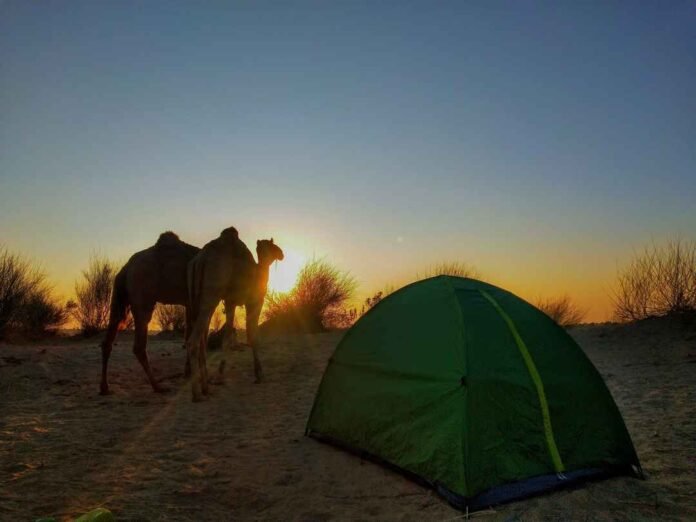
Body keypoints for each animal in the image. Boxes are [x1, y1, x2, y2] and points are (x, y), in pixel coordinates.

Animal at [99, 230, 200, 392]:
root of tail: (126, 268)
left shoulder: (189, 302)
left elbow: (189, 334)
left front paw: (188, 373)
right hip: (143, 297)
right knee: (139, 346)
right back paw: (158, 386)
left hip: (118, 298)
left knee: (108, 338)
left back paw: (104, 388)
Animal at [185, 232, 286, 398]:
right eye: (273, 245)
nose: (282, 253)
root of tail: (200, 260)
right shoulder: (254, 301)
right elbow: (253, 336)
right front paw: (259, 375)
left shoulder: (230, 302)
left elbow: (228, 337)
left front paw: (219, 376)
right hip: (211, 295)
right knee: (194, 340)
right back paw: (196, 394)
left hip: (195, 298)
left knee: (201, 339)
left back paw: (205, 387)